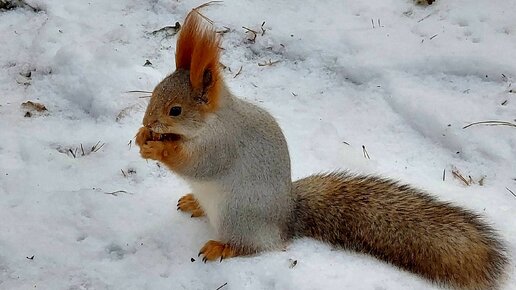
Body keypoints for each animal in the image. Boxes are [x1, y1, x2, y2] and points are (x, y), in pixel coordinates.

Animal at [136, 10, 508, 288]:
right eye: (155, 92)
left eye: (175, 111)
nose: (148, 121)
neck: (212, 121)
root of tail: (286, 219)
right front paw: (143, 136)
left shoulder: (223, 145)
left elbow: (197, 165)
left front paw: (157, 149)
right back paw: (194, 203)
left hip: (238, 216)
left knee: (256, 246)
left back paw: (221, 246)